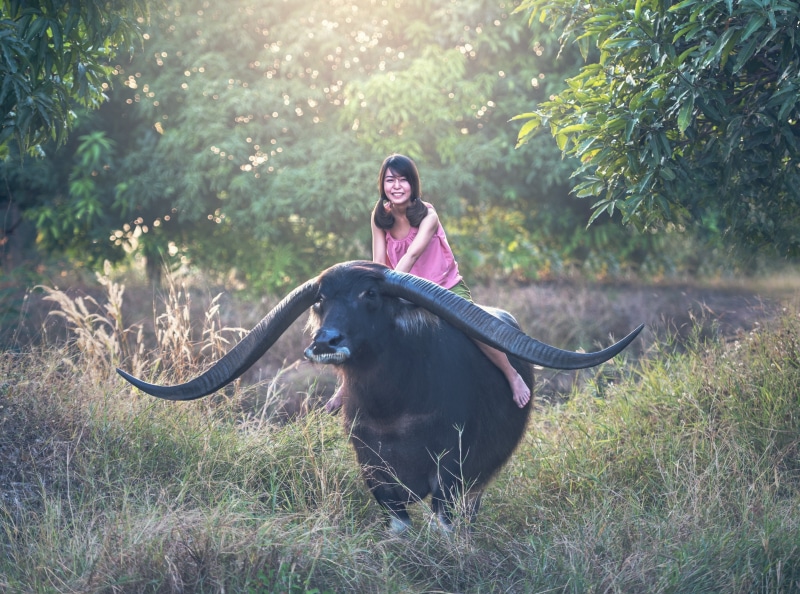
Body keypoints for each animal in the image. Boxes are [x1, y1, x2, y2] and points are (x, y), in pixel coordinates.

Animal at [118, 261, 643, 532]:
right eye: (320, 300)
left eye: (369, 296)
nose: (325, 341)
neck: (394, 407)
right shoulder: (372, 467)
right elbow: (397, 519)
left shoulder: (450, 471)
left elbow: (444, 519)